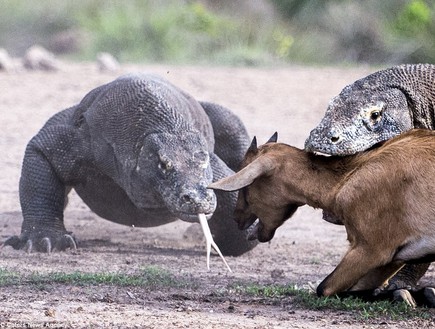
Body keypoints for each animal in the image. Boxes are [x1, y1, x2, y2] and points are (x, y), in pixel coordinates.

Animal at [209, 129, 435, 296]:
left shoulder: (371, 249)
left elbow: (324, 289)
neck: (348, 176)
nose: (237, 218)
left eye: (247, 187)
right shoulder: (392, 258)